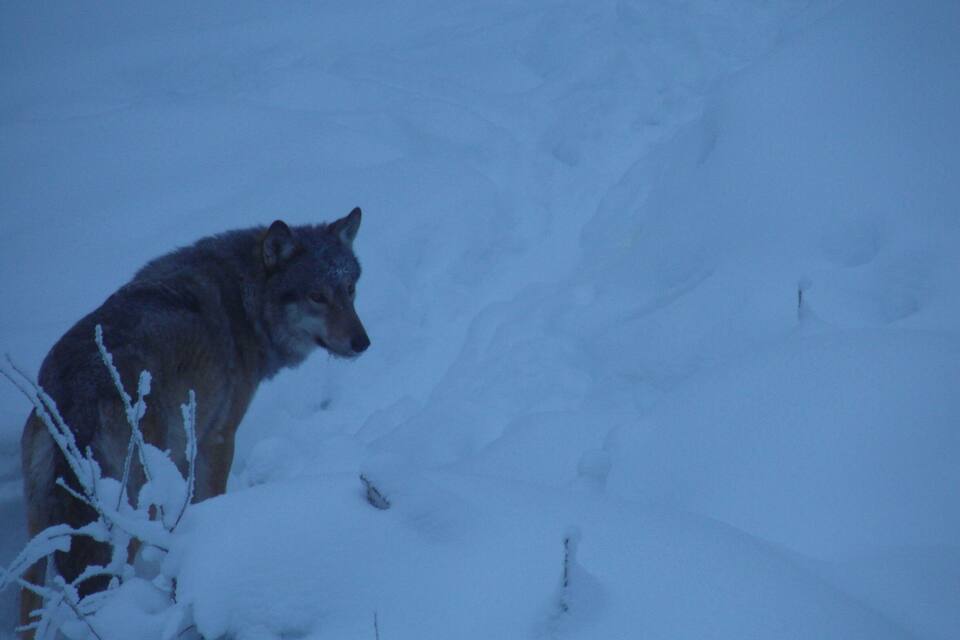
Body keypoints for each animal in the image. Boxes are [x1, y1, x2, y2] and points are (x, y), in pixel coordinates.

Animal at [19, 208, 370, 631]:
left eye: (349, 289)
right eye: (317, 296)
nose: (363, 343)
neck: (246, 301)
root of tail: (76, 395)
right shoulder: (218, 437)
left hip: (39, 538)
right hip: (129, 516)